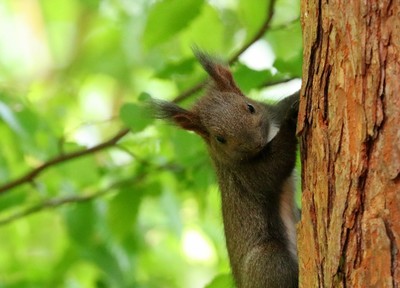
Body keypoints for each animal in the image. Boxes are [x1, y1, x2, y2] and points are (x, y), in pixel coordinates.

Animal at [155, 51, 298, 288]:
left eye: (250, 107)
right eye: (219, 138)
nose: (256, 144)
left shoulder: (273, 112)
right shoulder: (246, 175)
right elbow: (275, 166)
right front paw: (292, 121)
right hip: (268, 260)